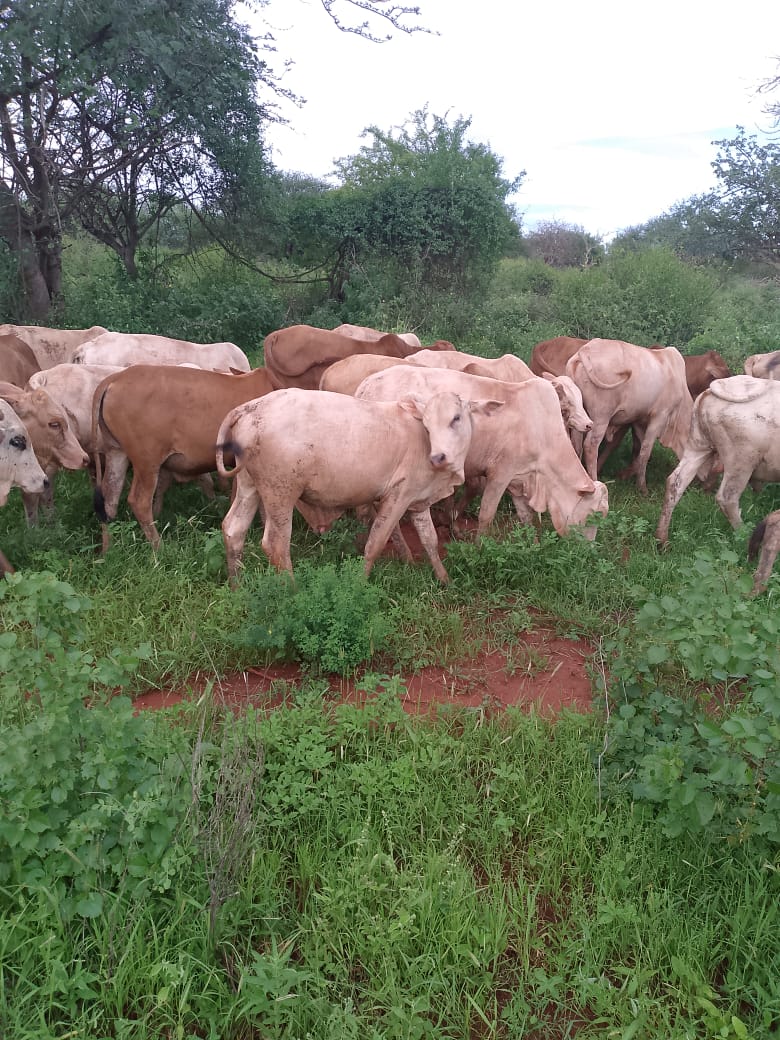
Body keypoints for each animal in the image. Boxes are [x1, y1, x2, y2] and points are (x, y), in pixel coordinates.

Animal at [91, 364, 275, 550]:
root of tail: (117, 377)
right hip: (147, 460)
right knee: (139, 502)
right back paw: (159, 547)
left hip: (116, 452)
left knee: (109, 498)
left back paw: (107, 548)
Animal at [215, 388, 500, 582]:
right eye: (427, 425)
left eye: (456, 418)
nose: (438, 457)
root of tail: (252, 406)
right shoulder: (398, 495)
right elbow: (375, 543)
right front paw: (361, 582)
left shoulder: (419, 501)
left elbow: (430, 541)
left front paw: (444, 578)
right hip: (280, 493)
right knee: (275, 545)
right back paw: (292, 591)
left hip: (249, 486)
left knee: (233, 530)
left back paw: (236, 586)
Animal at [355, 366, 608, 539]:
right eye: (592, 516)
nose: (588, 550)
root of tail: (368, 383)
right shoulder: (500, 473)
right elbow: (486, 514)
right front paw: (479, 546)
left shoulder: (519, 480)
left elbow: (527, 517)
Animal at [565, 339, 692, 494]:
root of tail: (586, 349)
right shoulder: (660, 416)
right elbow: (645, 451)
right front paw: (642, 488)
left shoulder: (639, 420)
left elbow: (640, 449)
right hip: (601, 415)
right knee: (590, 445)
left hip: (580, 415)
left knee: (576, 445)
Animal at [655, 376, 780, 546]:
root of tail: (712, 390)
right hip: (741, 461)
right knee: (727, 498)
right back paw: (744, 535)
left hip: (698, 446)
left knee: (675, 482)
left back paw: (662, 539)